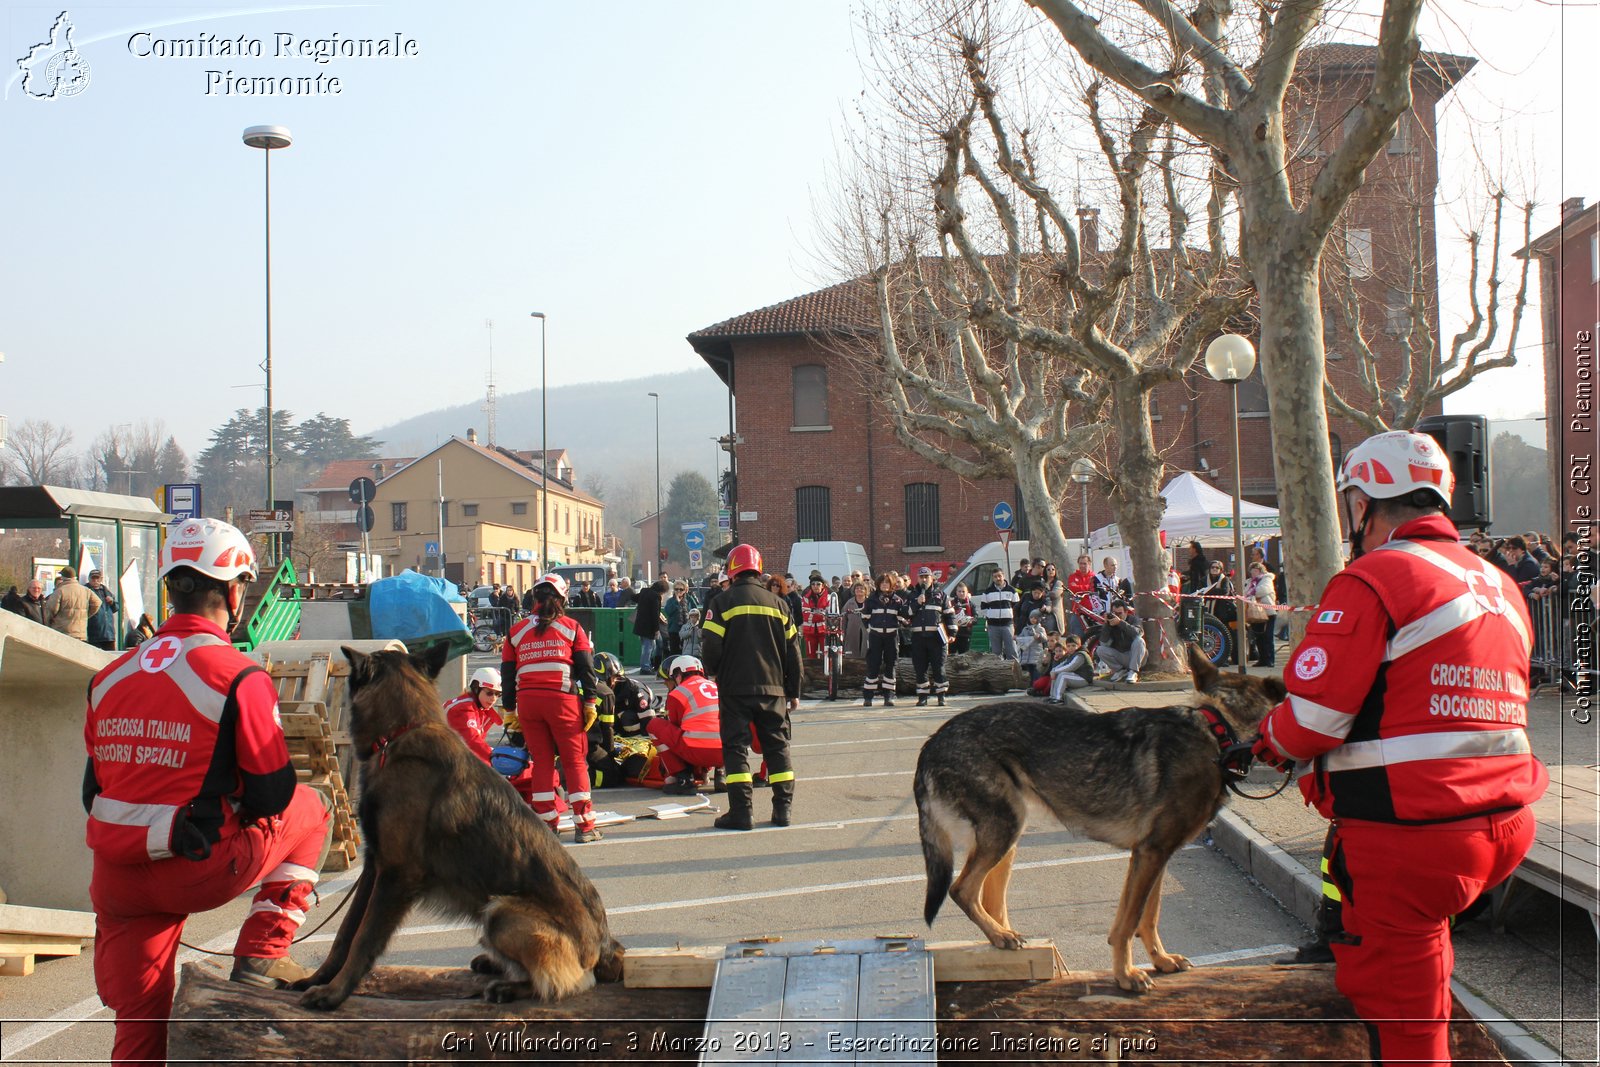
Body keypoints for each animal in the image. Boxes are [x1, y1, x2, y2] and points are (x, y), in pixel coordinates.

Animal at [294, 643, 624, 1011]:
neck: (402, 732)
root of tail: (605, 947)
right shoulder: (373, 868)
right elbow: (345, 932)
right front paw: (318, 978)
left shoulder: (395, 874)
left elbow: (364, 938)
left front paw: (334, 993)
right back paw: (494, 965)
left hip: (501, 913)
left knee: (567, 982)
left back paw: (509, 986)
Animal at [921, 646, 1280, 998]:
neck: (1219, 731)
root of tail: (934, 740)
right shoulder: (1151, 853)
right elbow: (1129, 923)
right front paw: (1126, 976)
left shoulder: (1153, 856)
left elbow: (1148, 916)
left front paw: (1160, 961)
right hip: (1003, 830)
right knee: (962, 889)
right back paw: (1000, 936)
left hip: (1007, 835)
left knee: (989, 899)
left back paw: (1006, 938)